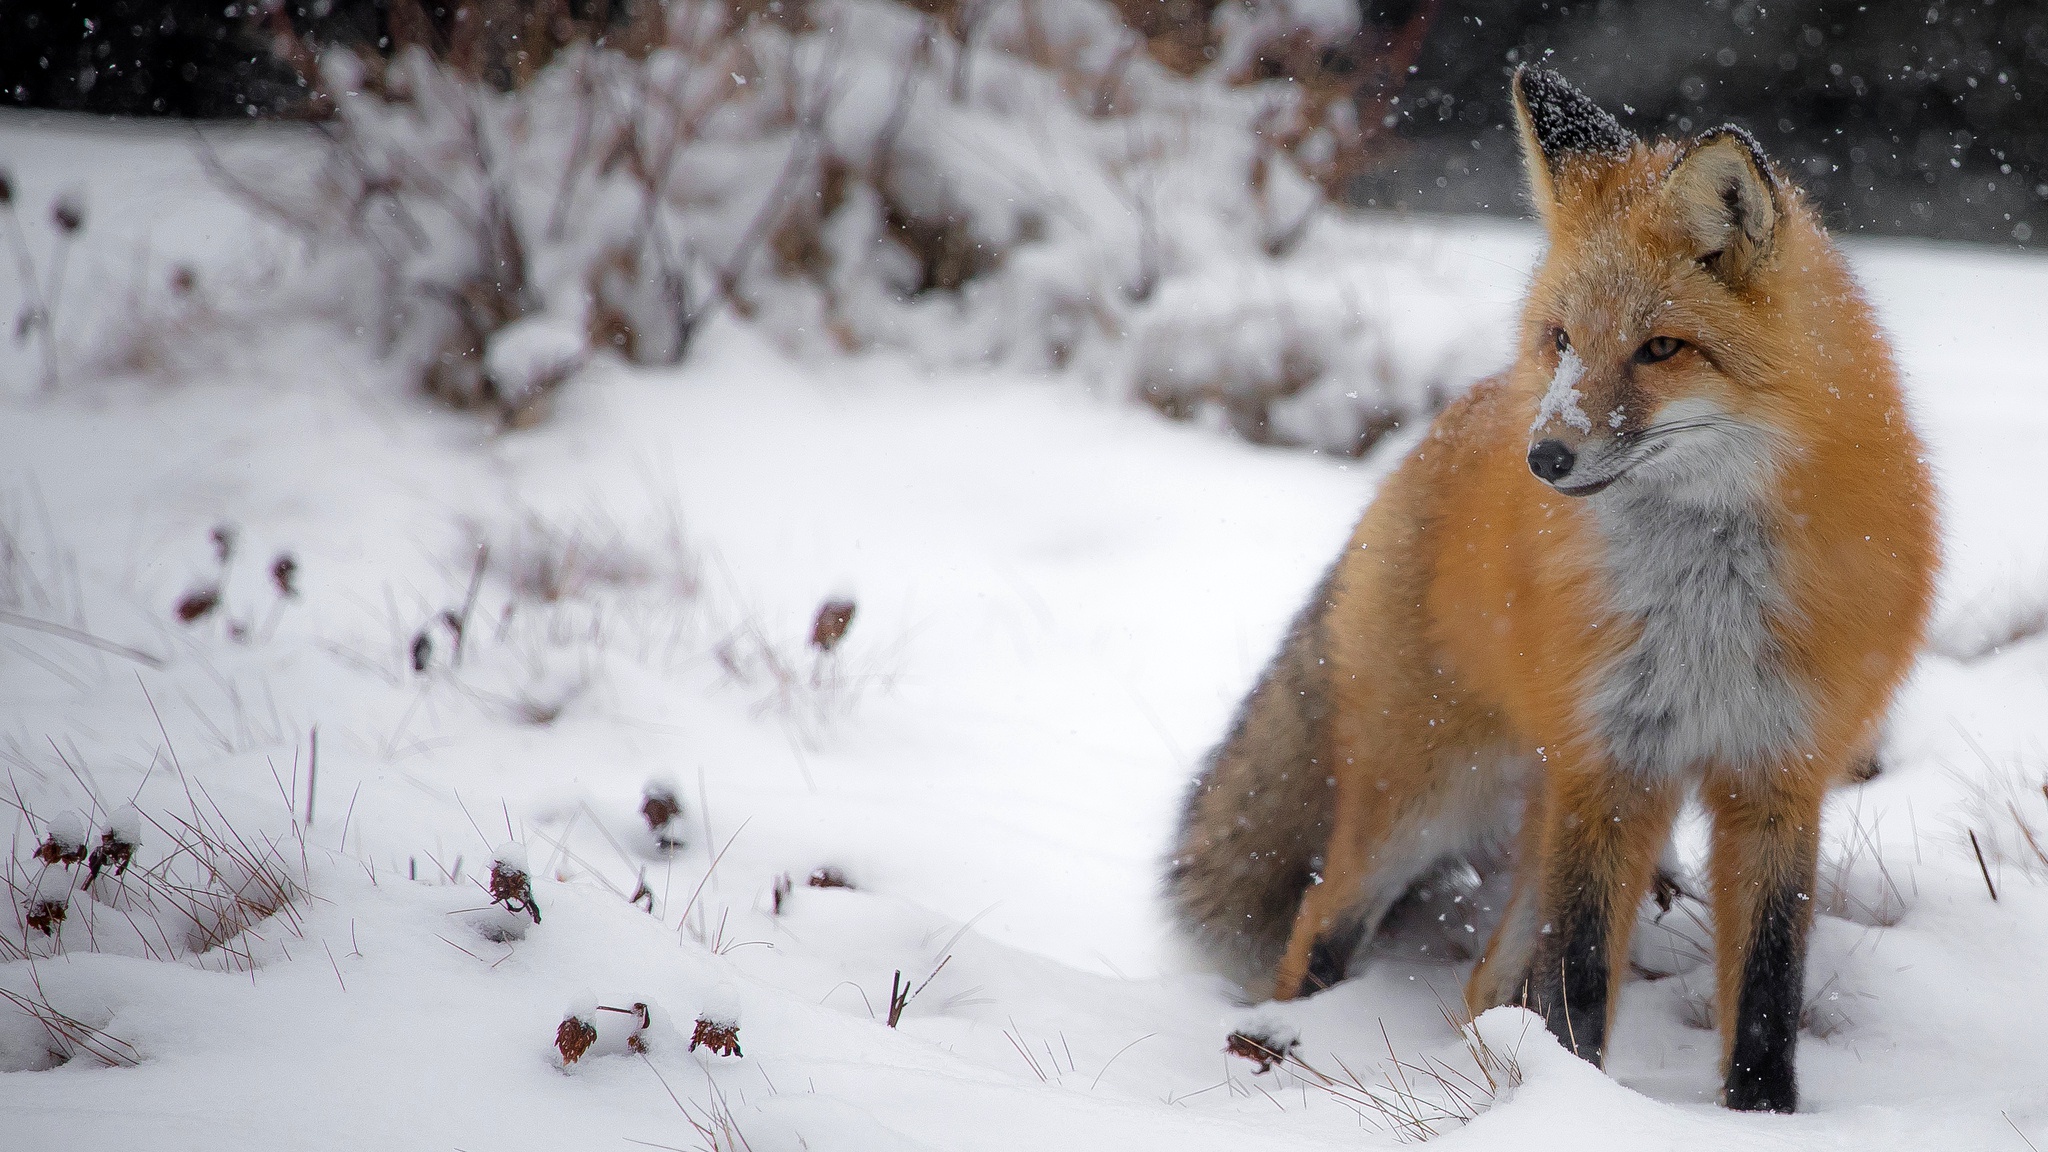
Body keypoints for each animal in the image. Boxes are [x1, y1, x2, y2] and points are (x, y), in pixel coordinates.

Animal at [1171, 67, 1933, 1106]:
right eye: (1564, 338)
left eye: (1661, 349)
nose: (1546, 457)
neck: (1706, 607)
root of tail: (1445, 428)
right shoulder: (1607, 771)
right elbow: (1577, 977)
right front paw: (1579, 1102)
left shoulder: (1777, 775)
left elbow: (1768, 987)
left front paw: (1759, 1114)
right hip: (1429, 796)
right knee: (1322, 922)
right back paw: (1288, 1047)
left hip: (1545, 802)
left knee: (1481, 981)